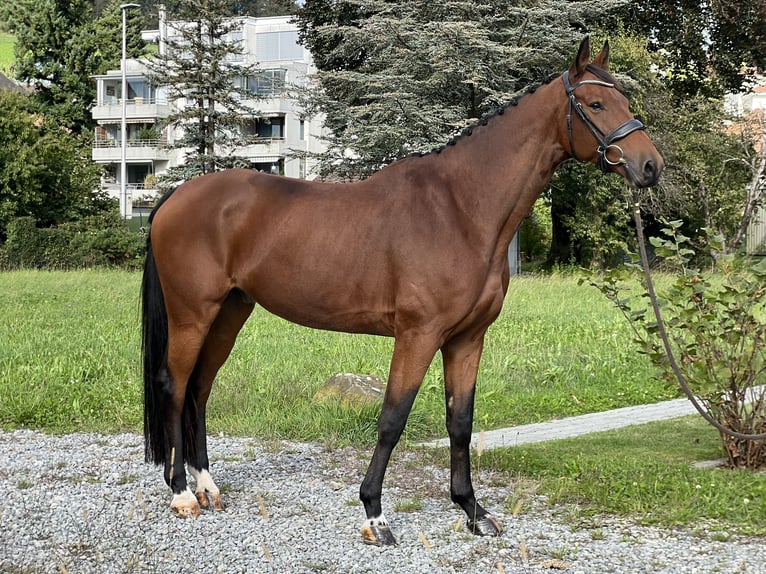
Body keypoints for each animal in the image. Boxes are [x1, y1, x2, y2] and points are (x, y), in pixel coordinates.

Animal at [142, 38, 664, 548]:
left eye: (625, 101)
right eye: (596, 104)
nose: (650, 166)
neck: (459, 210)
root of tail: (176, 196)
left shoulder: (467, 339)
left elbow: (460, 421)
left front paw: (473, 511)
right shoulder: (418, 335)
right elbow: (393, 419)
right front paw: (374, 515)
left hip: (230, 313)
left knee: (199, 388)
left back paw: (207, 487)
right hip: (194, 314)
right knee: (175, 385)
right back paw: (182, 494)